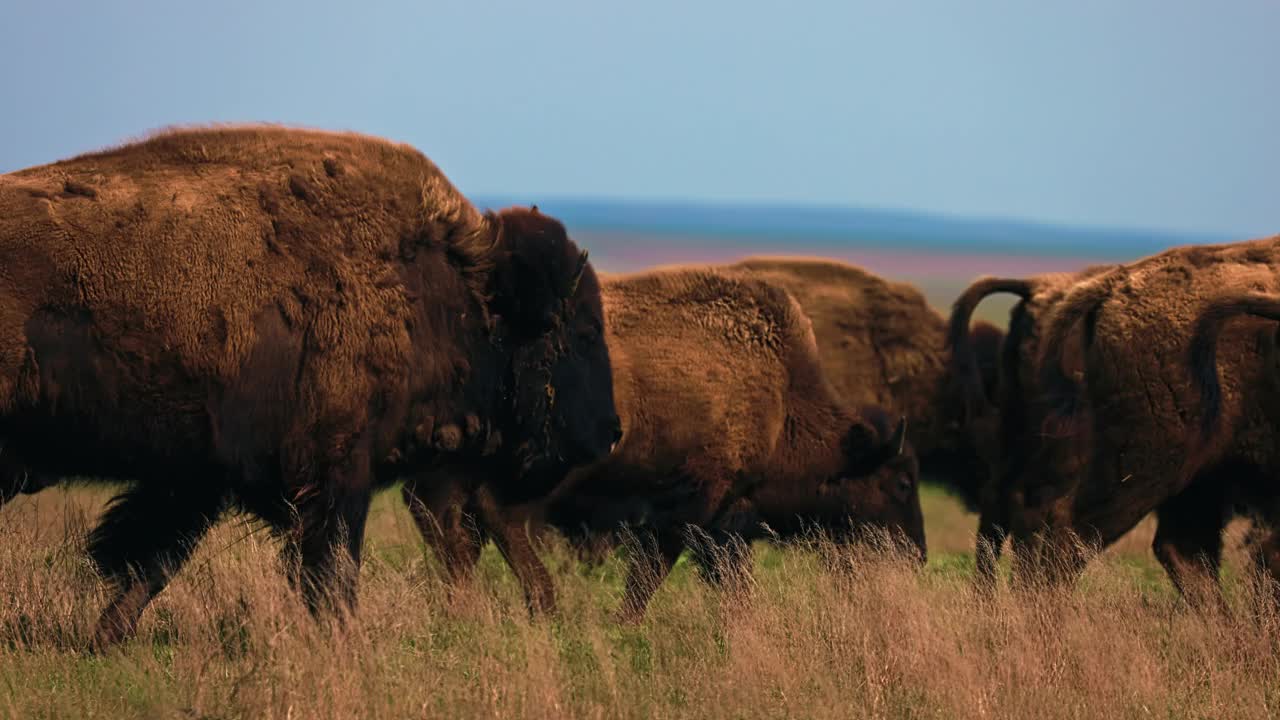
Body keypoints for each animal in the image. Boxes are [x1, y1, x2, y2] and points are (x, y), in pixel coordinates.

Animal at [0, 124, 619, 645]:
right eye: (585, 330)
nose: (611, 432)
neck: (448, 289)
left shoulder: (200, 476)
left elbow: (152, 559)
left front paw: (105, 637)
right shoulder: (335, 471)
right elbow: (332, 571)